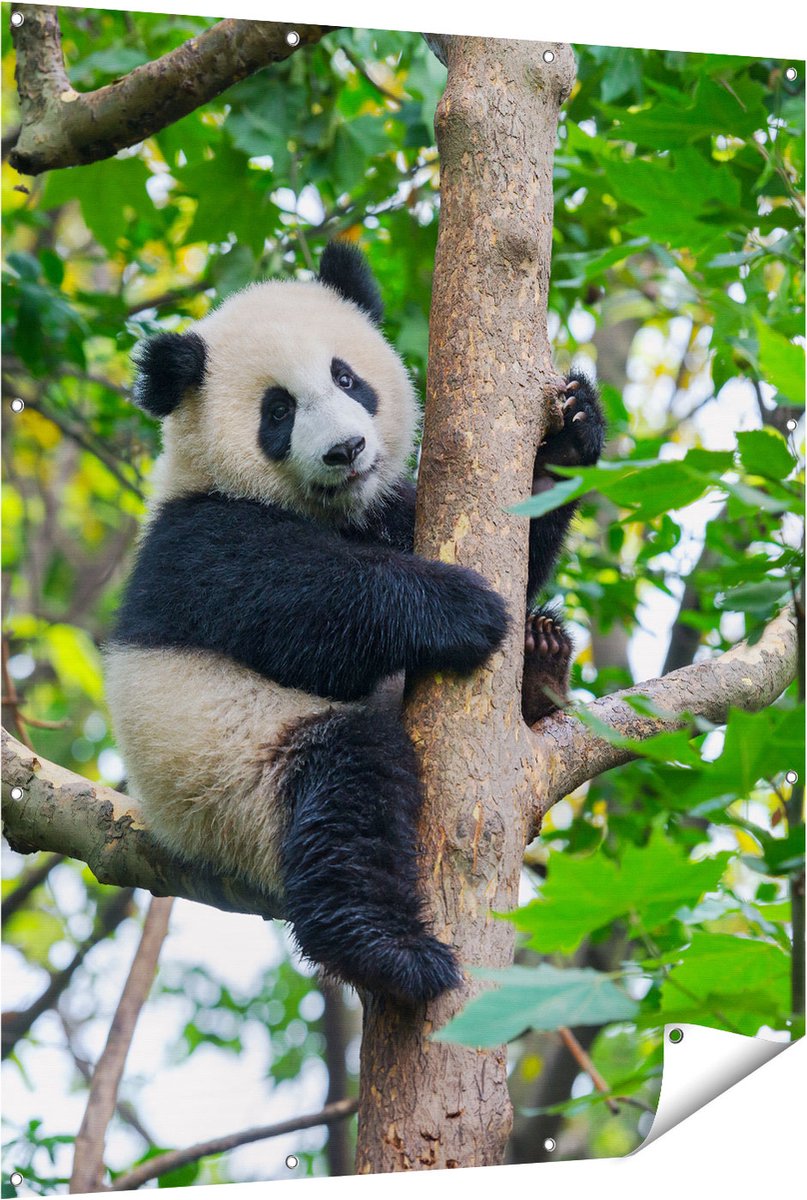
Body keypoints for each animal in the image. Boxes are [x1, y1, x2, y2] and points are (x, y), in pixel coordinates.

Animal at [105, 242, 604, 1005]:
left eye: (347, 377)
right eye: (277, 411)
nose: (345, 450)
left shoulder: (387, 511)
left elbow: (519, 543)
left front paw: (571, 436)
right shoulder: (197, 542)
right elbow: (304, 609)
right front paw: (461, 608)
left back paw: (541, 661)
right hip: (231, 777)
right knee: (345, 792)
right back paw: (390, 951)